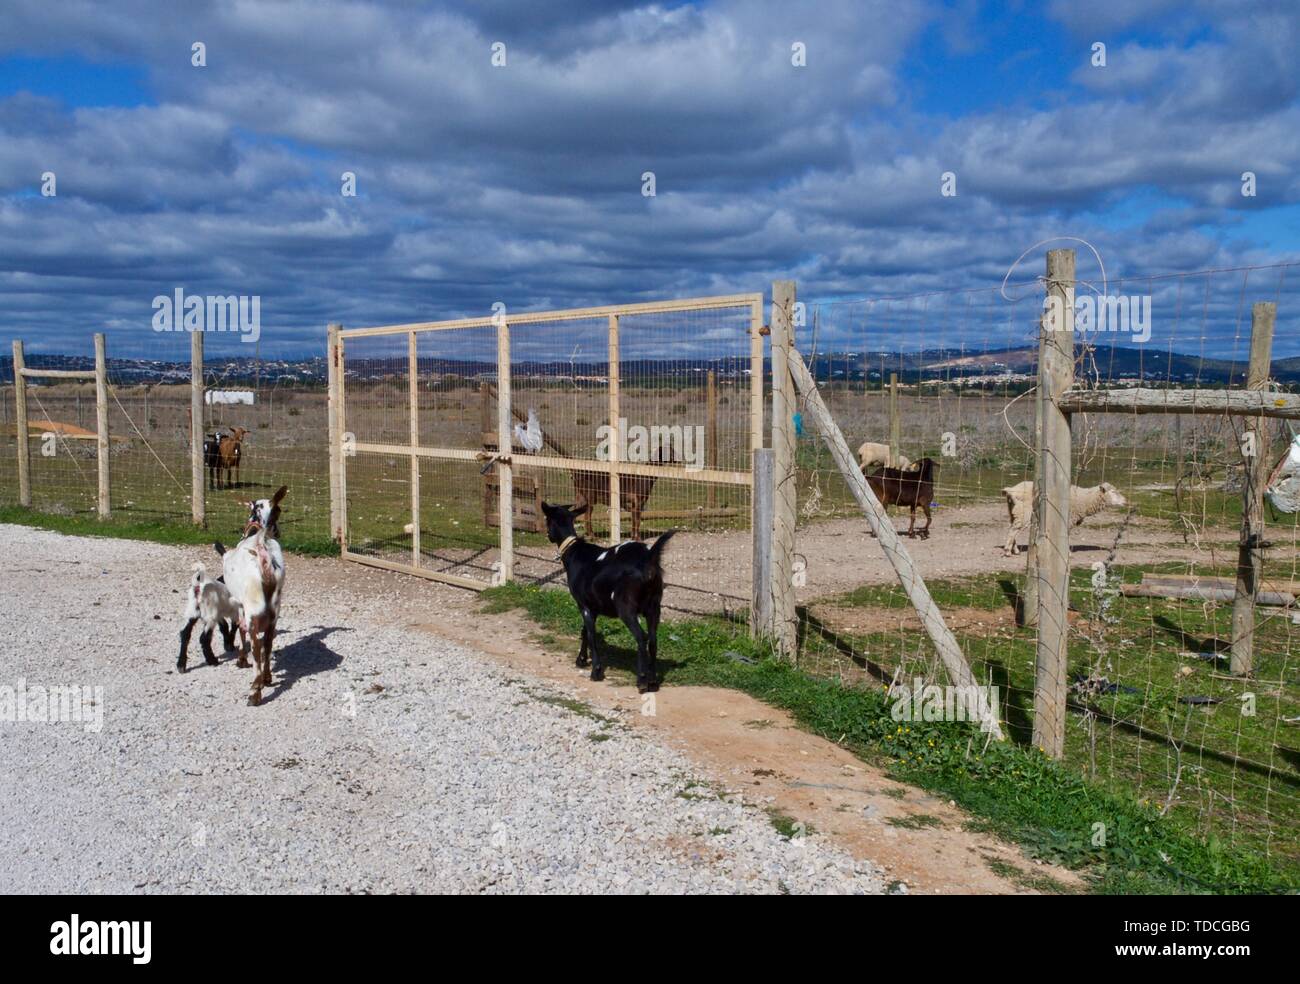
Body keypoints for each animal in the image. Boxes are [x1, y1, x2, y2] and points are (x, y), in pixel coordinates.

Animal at [216, 485, 287, 705]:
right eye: (279, 511)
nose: (277, 531)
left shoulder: (239, 604)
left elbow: (239, 628)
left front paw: (241, 659)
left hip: (253, 612)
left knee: (255, 645)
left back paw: (255, 691)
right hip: (274, 614)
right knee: (268, 644)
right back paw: (267, 678)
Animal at [541, 501, 674, 694]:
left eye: (546, 519)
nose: (548, 535)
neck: (574, 552)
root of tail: (648, 559)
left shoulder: (583, 604)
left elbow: (590, 634)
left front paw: (595, 671)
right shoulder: (592, 605)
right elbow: (584, 631)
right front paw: (581, 660)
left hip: (626, 607)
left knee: (641, 636)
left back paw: (642, 680)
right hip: (654, 606)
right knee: (653, 639)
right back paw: (653, 681)